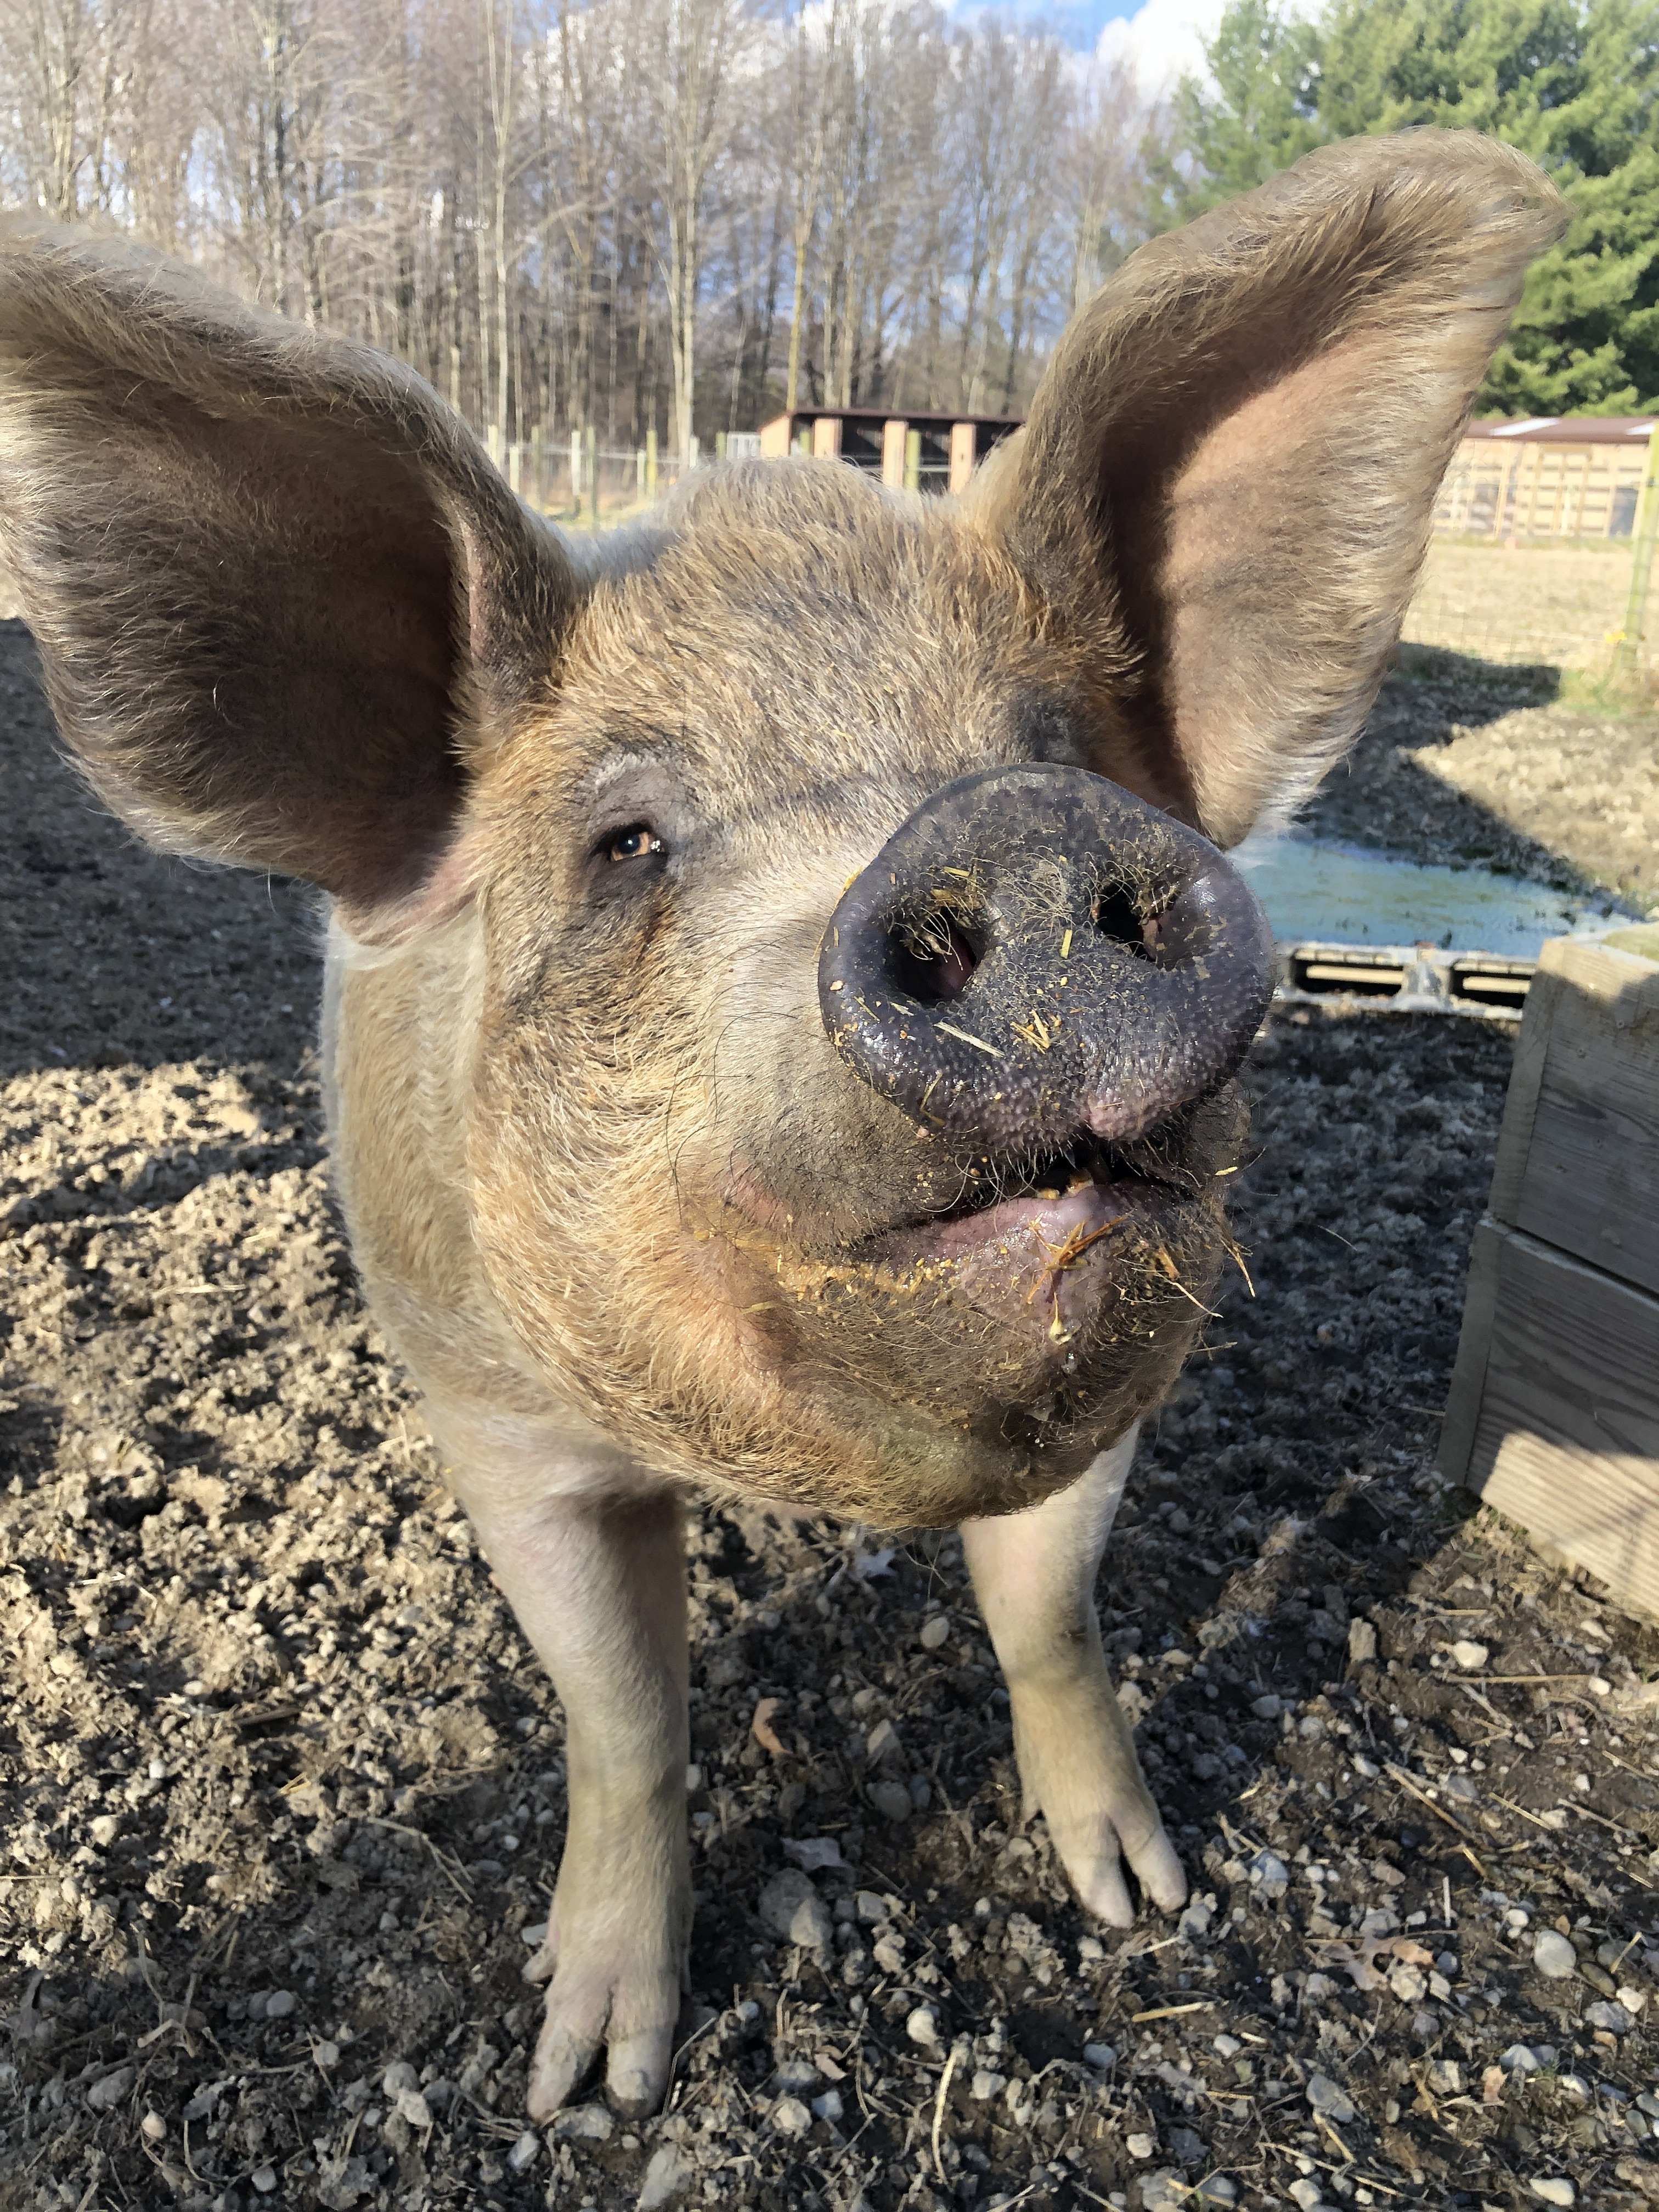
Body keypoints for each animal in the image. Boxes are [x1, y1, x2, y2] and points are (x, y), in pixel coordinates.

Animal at [0, 131, 1560, 2120]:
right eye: (625, 843)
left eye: (1062, 752)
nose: (1020, 835)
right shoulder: (498, 1418)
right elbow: (624, 1720)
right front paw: (592, 2082)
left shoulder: (1126, 1361)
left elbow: (1050, 1619)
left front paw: (1140, 1899)